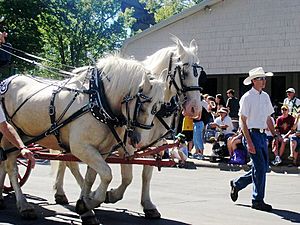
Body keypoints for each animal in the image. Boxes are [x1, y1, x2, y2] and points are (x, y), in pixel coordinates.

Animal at [0, 55, 165, 224]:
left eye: (158, 108)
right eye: (142, 107)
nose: (140, 141)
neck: (97, 99)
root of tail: (8, 79)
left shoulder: (101, 150)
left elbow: (92, 177)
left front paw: (85, 206)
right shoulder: (81, 147)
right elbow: (107, 174)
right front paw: (90, 203)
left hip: (24, 136)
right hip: (10, 133)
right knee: (11, 167)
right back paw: (24, 206)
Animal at [52, 37, 205, 219]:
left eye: (199, 74)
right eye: (184, 72)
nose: (195, 109)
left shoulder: (154, 145)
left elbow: (147, 174)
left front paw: (148, 205)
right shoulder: (127, 144)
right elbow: (127, 177)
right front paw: (110, 195)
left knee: (65, 161)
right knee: (69, 163)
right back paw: (74, 194)